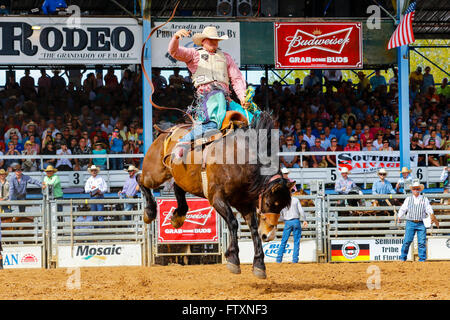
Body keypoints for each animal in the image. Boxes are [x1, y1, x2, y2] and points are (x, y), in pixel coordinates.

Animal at [139, 111, 292, 278]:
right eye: (270, 203)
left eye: (282, 207)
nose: (268, 236)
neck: (239, 160)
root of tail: (168, 130)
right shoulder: (217, 198)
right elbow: (233, 222)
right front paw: (233, 258)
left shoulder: (244, 203)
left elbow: (253, 228)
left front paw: (259, 264)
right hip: (154, 174)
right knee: (140, 180)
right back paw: (150, 211)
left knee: (177, 188)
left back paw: (178, 216)